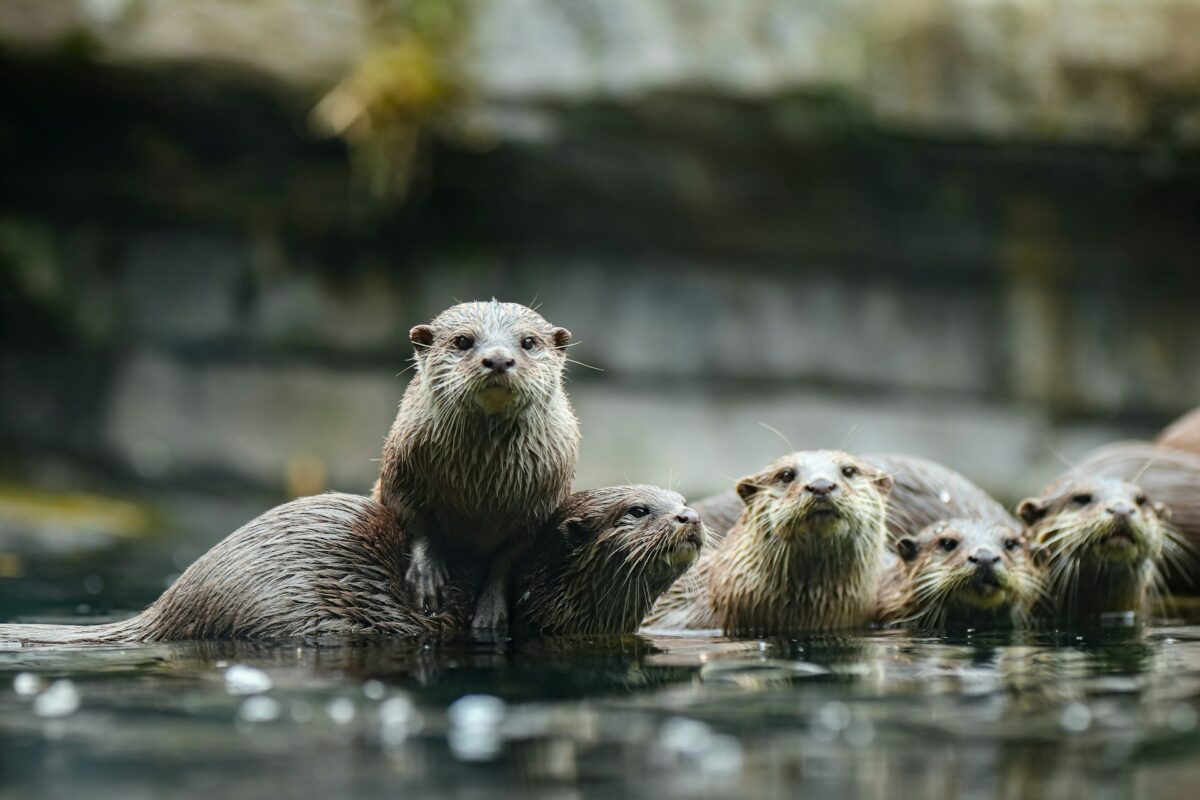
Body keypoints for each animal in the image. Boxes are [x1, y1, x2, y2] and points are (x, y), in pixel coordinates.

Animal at [374, 299, 580, 633]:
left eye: (528, 342)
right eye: (462, 341)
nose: (497, 359)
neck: (480, 497)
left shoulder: (541, 507)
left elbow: (507, 558)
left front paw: (491, 611)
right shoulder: (399, 473)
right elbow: (417, 522)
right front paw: (426, 578)